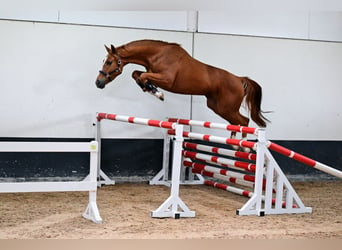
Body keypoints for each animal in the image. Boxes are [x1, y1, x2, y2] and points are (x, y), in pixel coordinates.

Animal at [95, 39, 268, 141]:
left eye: (109, 62)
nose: (98, 83)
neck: (157, 55)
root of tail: (239, 79)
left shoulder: (166, 79)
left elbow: (142, 75)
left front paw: (158, 93)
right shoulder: (151, 72)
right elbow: (137, 74)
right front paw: (150, 89)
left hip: (227, 107)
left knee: (243, 121)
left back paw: (242, 146)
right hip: (217, 107)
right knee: (237, 122)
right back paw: (234, 141)